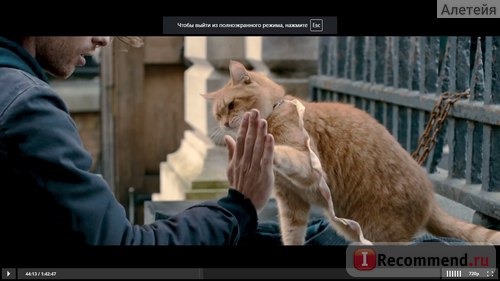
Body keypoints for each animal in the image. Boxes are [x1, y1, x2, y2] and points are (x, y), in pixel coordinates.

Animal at [203, 60, 500, 244]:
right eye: (217, 113)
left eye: (231, 105)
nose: (223, 124)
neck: (277, 110)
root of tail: (431, 199)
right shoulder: (292, 204)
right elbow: (292, 236)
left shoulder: (308, 166)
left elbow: (284, 152)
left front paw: (264, 145)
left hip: (378, 233)